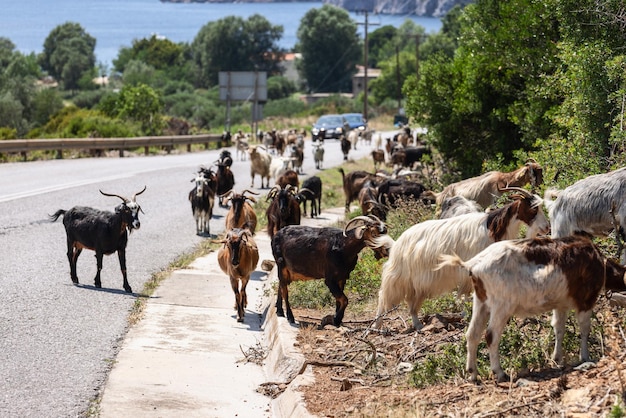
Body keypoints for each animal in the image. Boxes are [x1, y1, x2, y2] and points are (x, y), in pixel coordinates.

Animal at [436, 235, 624, 382]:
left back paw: (472, 374)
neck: (600, 263)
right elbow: (584, 328)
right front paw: (585, 357)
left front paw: (558, 359)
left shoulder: (560, 304)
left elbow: (559, 328)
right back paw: (500, 373)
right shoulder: (586, 299)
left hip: (481, 302)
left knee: (472, 334)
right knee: (491, 336)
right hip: (501, 305)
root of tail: (473, 265)